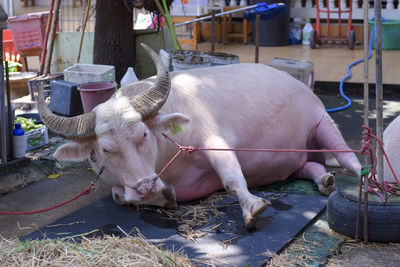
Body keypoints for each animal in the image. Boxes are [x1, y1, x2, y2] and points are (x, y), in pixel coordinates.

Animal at [38, 44, 362, 230]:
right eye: (105, 149)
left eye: (143, 133)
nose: (146, 185)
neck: (165, 158)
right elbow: (120, 196)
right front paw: (162, 195)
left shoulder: (215, 142)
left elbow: (233, 180)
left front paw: (253, 207)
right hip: (294, 157)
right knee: (310, 165)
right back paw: (325, 180)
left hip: (322, 120)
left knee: (349, 158)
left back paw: (365, 181)